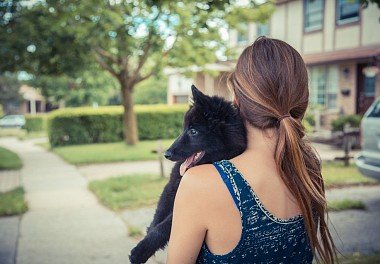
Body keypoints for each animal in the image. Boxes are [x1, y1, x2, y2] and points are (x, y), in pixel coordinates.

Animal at [127, 85, 246, 262]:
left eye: (193, 131)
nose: (166, 154)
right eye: (184, 129)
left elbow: (164, 226)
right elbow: (158, 216)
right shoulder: (171, 187)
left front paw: (141, 251)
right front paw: (147, 239)